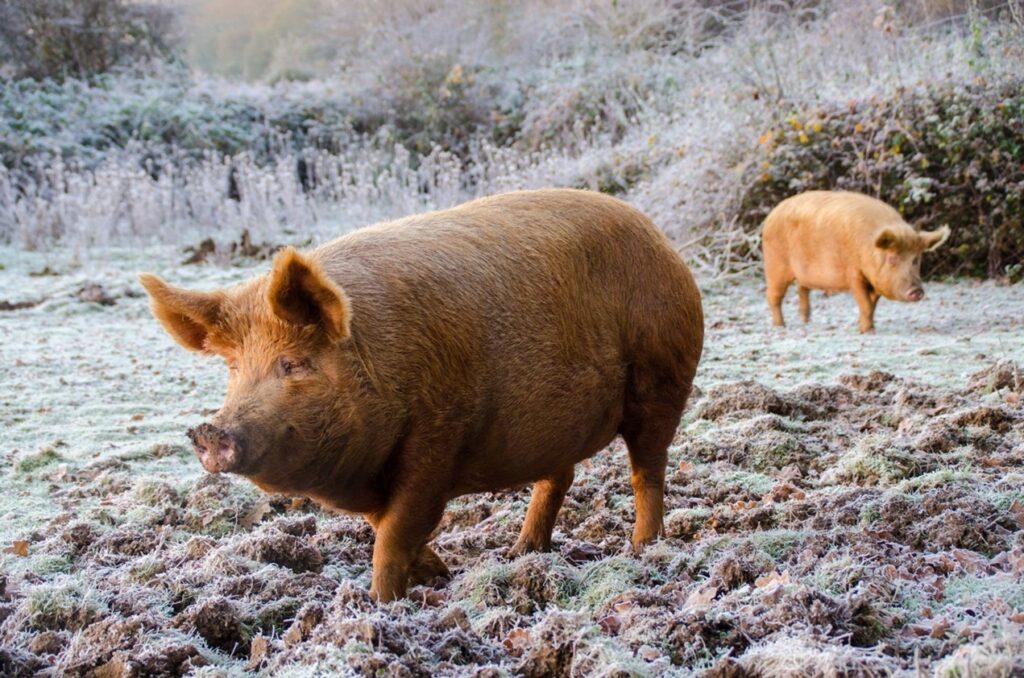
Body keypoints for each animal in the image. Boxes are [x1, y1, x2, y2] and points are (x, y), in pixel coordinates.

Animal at [140, 188, 704, 602]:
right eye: (234, 368)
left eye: (293, 363)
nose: (209, 431)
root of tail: (659, 238)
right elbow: (385, 525)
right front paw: (439, 575)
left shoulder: (438, 440)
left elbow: (393, 535)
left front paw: (379, 603)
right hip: (555, 423)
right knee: (558, 476)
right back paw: (520, 554)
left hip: (663, 377)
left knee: (648, 468)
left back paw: (642, 549)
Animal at [761, 189, 950, 333]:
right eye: (892, 258)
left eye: (916, 259)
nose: (917, 291)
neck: (868, 250)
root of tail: (772, 215)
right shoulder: (854, 275)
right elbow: (865, 303)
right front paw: (868, 332)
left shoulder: (875, 281)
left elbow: (872, 306)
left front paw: (868, 328)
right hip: (775, 266)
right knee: (773, 296)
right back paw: (780, 325)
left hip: (802, 275)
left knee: (802, 290)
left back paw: (806, 320)